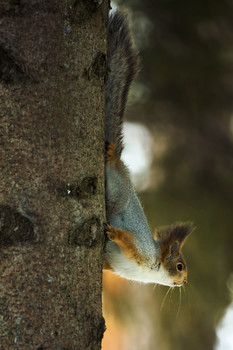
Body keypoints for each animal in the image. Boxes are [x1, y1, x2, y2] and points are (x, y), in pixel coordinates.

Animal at [104, 10, 193, 286]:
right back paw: (110, 155)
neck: (151, 271)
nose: (184, 282)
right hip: (116, 189)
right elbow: (128, 241)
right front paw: (115, 234)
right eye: (179, 266)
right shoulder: (141, 251)